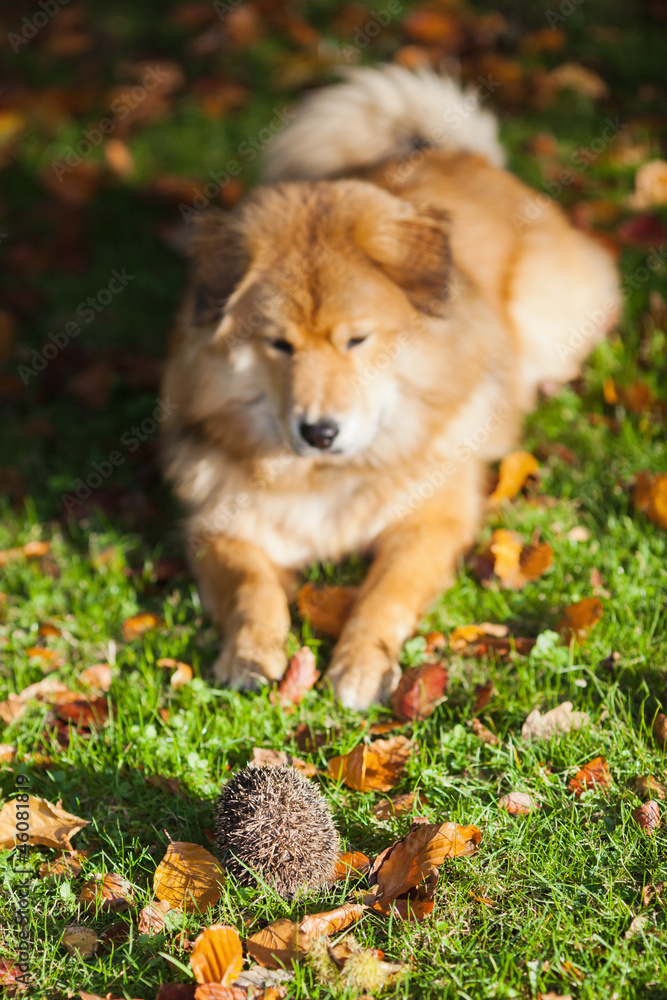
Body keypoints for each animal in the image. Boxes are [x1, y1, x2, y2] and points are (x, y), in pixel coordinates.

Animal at [162, 66, 620, 708]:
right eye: (279, 344)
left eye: (357, 340)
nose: (319, 432)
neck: (329, 478)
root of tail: (464, 155)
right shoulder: (222, 526)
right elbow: (252, 587)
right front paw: (251, 653)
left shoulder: (428, 523)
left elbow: (384, 594)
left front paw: (359, 665)